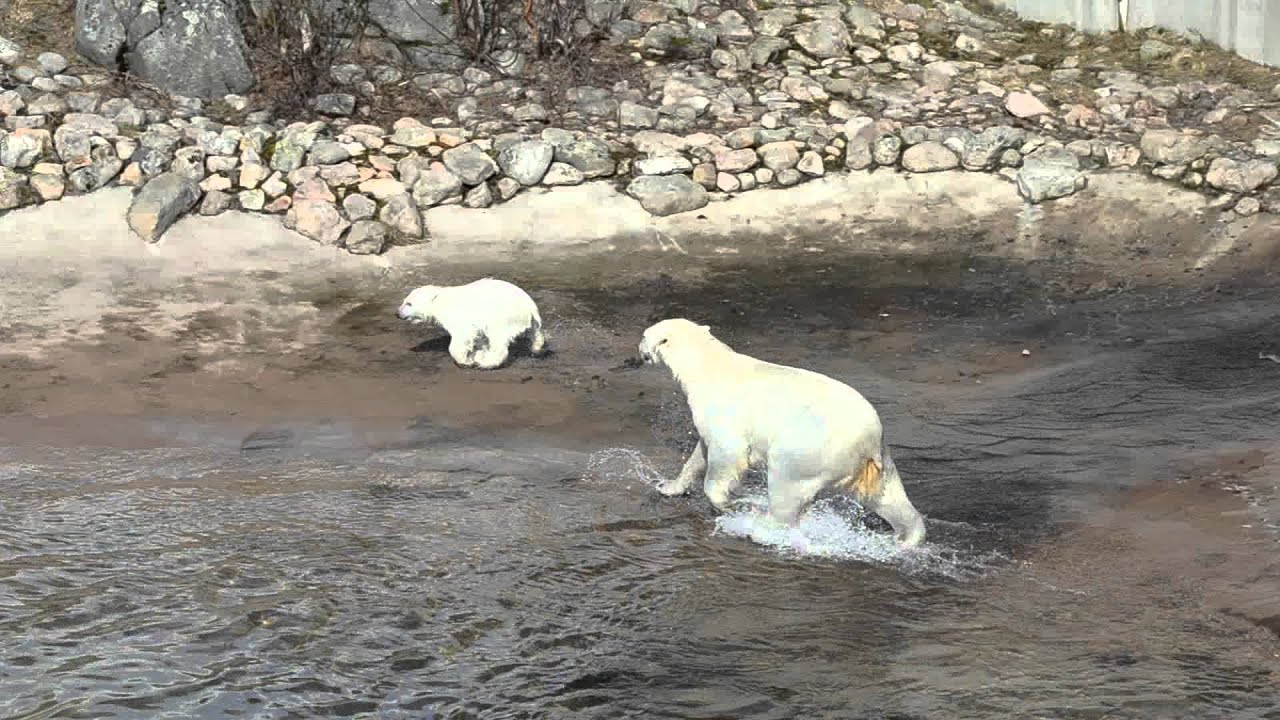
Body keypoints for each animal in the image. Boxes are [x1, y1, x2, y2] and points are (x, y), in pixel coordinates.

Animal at [396, 277, 548, 370]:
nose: (397, 314)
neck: (441, 301)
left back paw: (486, 363)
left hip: (502, 316)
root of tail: (529, 305)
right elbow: (479, 337)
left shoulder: (459, 317)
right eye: (404, 301)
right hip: (527, 319)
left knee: (498, 340)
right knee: (534, 331)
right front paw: (476, 352)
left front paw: (466, 360)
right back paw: (536, 347)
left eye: (409, 303)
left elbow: (462, 336)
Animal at [637, 318, 927, 548]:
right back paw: (907, 536)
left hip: (808, 451)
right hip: (878, 463)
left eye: (643, 336)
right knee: (890, 498)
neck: (707, 364)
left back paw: (760, 528)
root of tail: (869, 438)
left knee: (785, 488)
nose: (639, 351)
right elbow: (700, 452)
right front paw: (668, 486)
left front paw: (725, 503)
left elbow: (727, 454)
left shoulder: (725, 413)